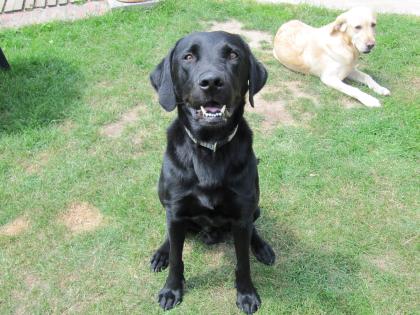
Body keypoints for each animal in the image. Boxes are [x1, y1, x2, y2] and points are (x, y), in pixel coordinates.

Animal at [151, 30, 276, 314]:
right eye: (188, 56)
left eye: (233, 55)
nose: (211, 82)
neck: (210, 148)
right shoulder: (175, 211)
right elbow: (177, 258)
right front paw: (171, 290)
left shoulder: (241, 216)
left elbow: (243, 262)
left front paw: (246, 294)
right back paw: (161, 253)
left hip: (255, 208)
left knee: (254, 228)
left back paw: (262, 247)